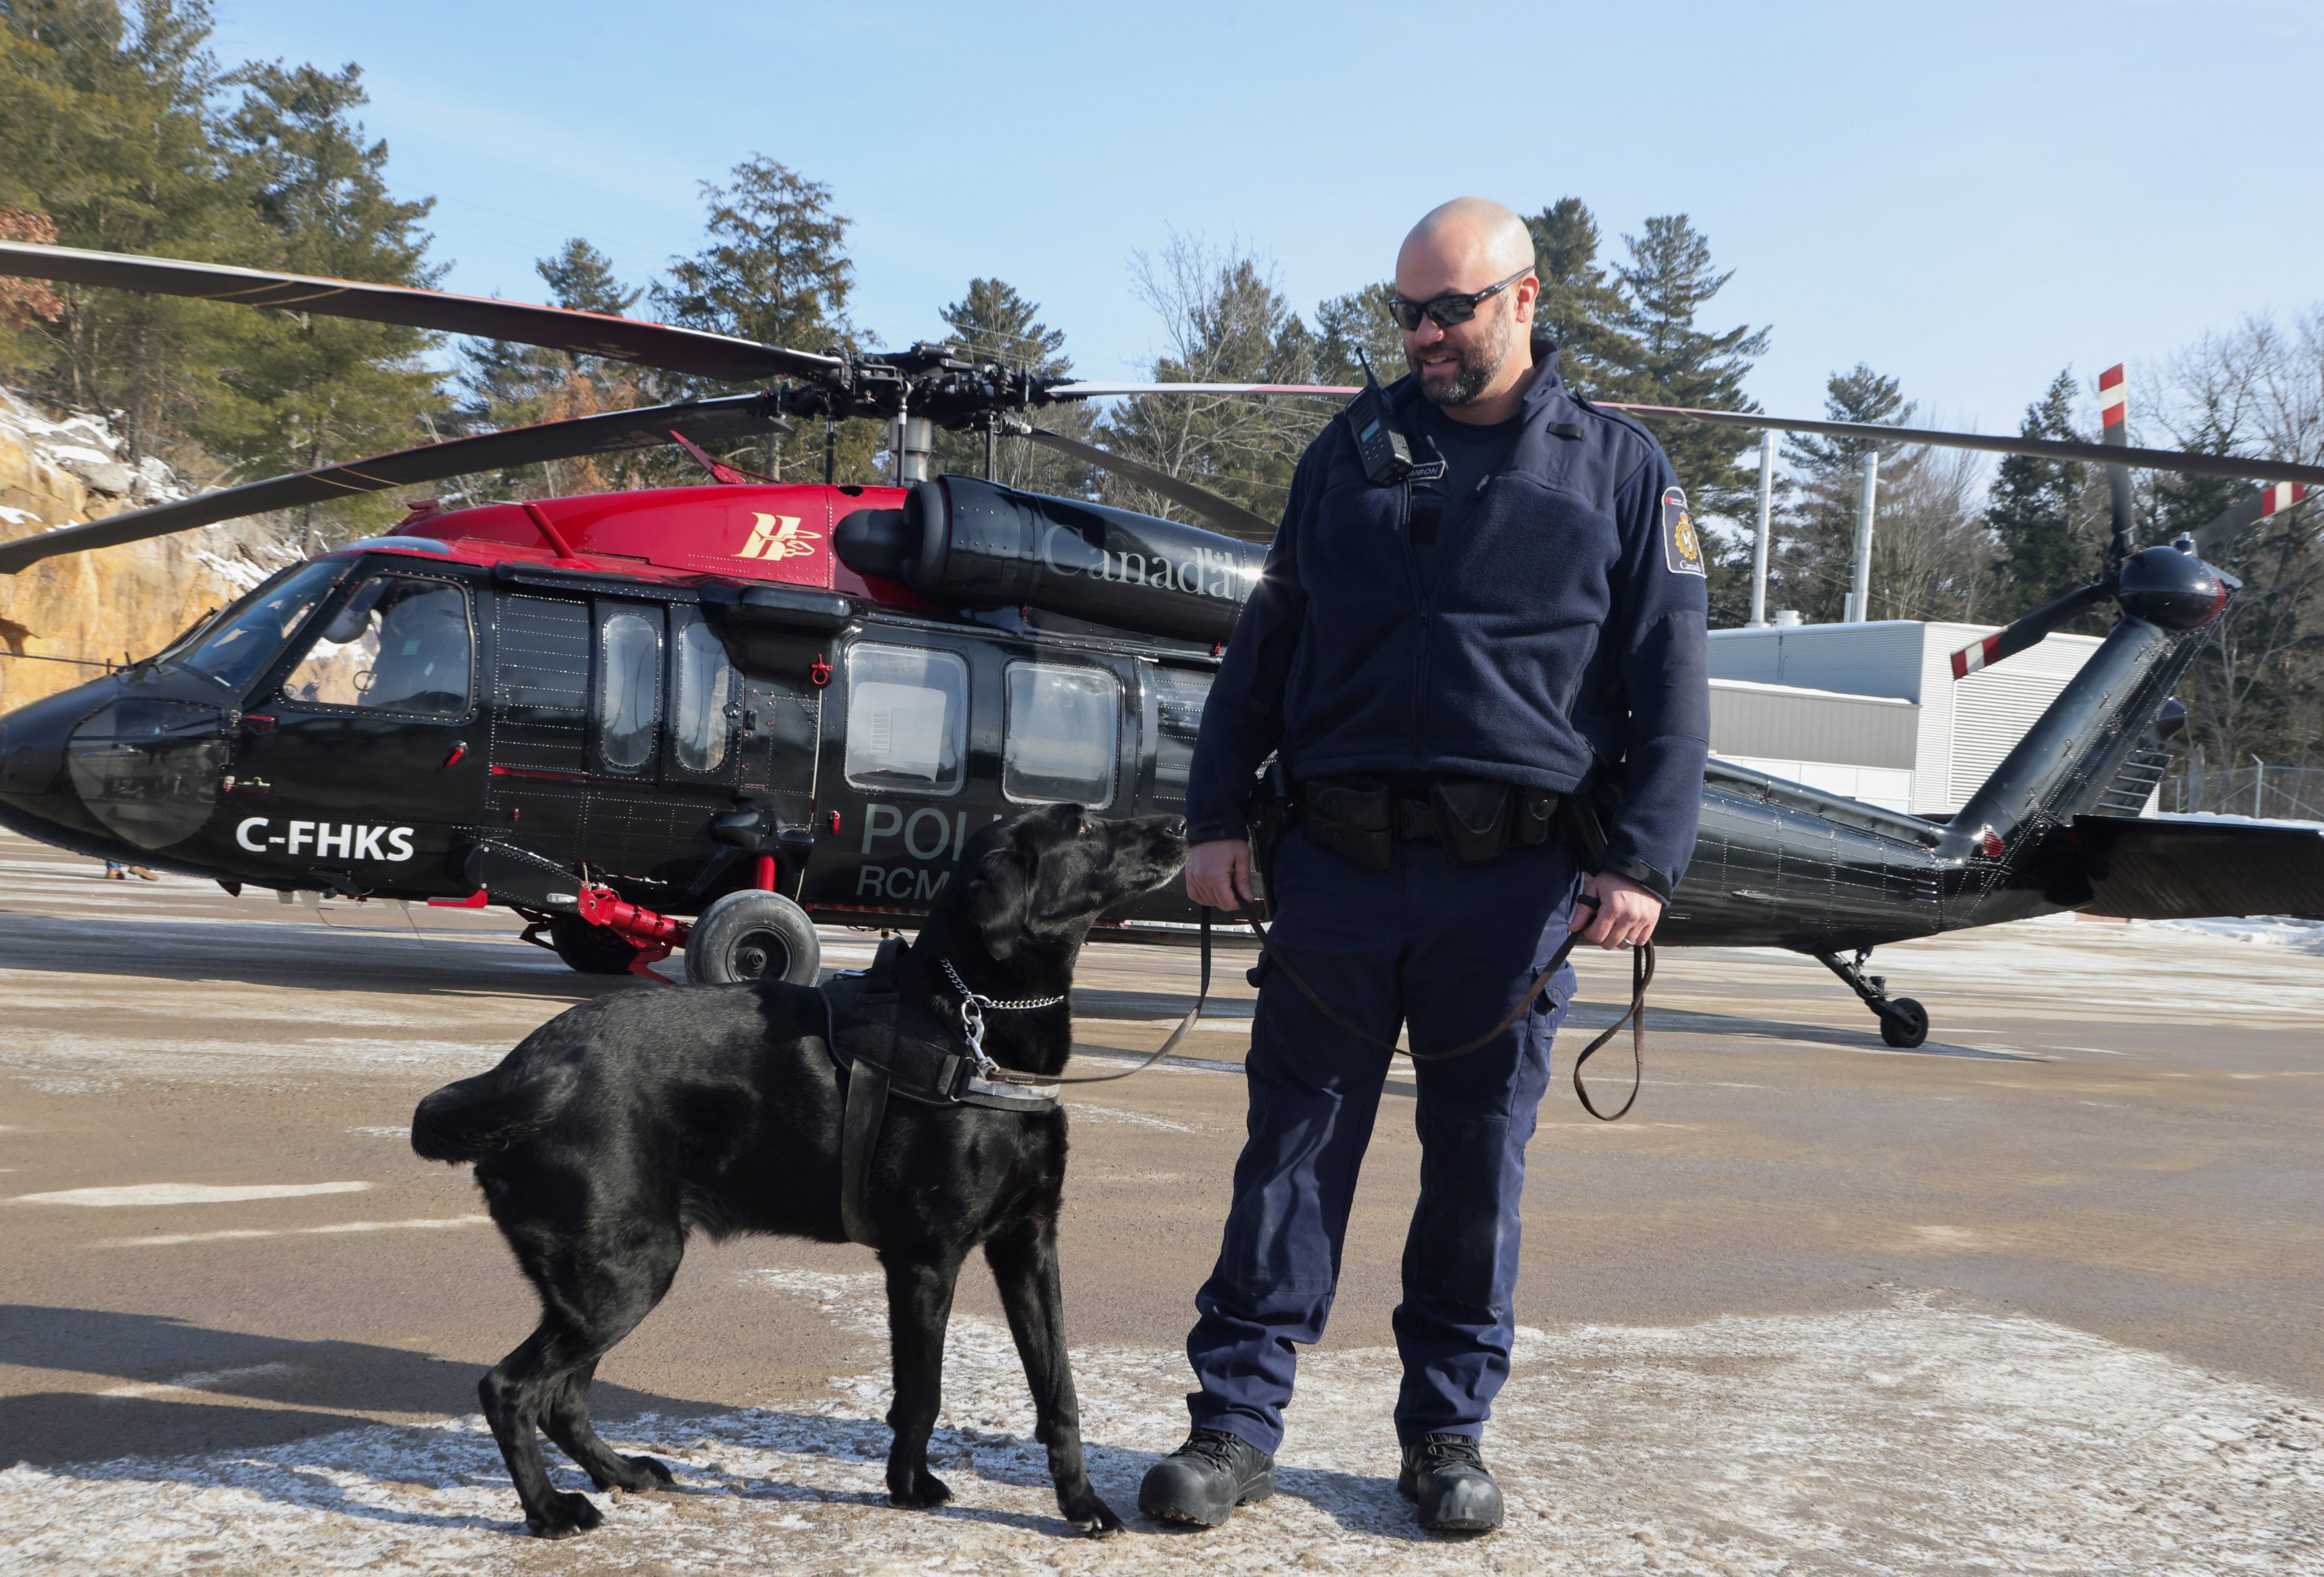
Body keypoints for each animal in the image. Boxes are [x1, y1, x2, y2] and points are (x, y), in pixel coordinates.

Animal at [406, 808, 1190, 1533]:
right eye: (1083, 825)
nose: (1179, 826)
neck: (967, 1025)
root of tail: (524, 1073)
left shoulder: (1028, 1241)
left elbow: (1060, 1389)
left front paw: (1082, 1503)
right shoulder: (926, 1257)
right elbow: (923, 1390)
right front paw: (909, 1486)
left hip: (604, 1280)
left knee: (563, 1398)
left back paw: (621, 1473)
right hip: (621, 1276)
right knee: (511, 1389)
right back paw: (549, 1509)